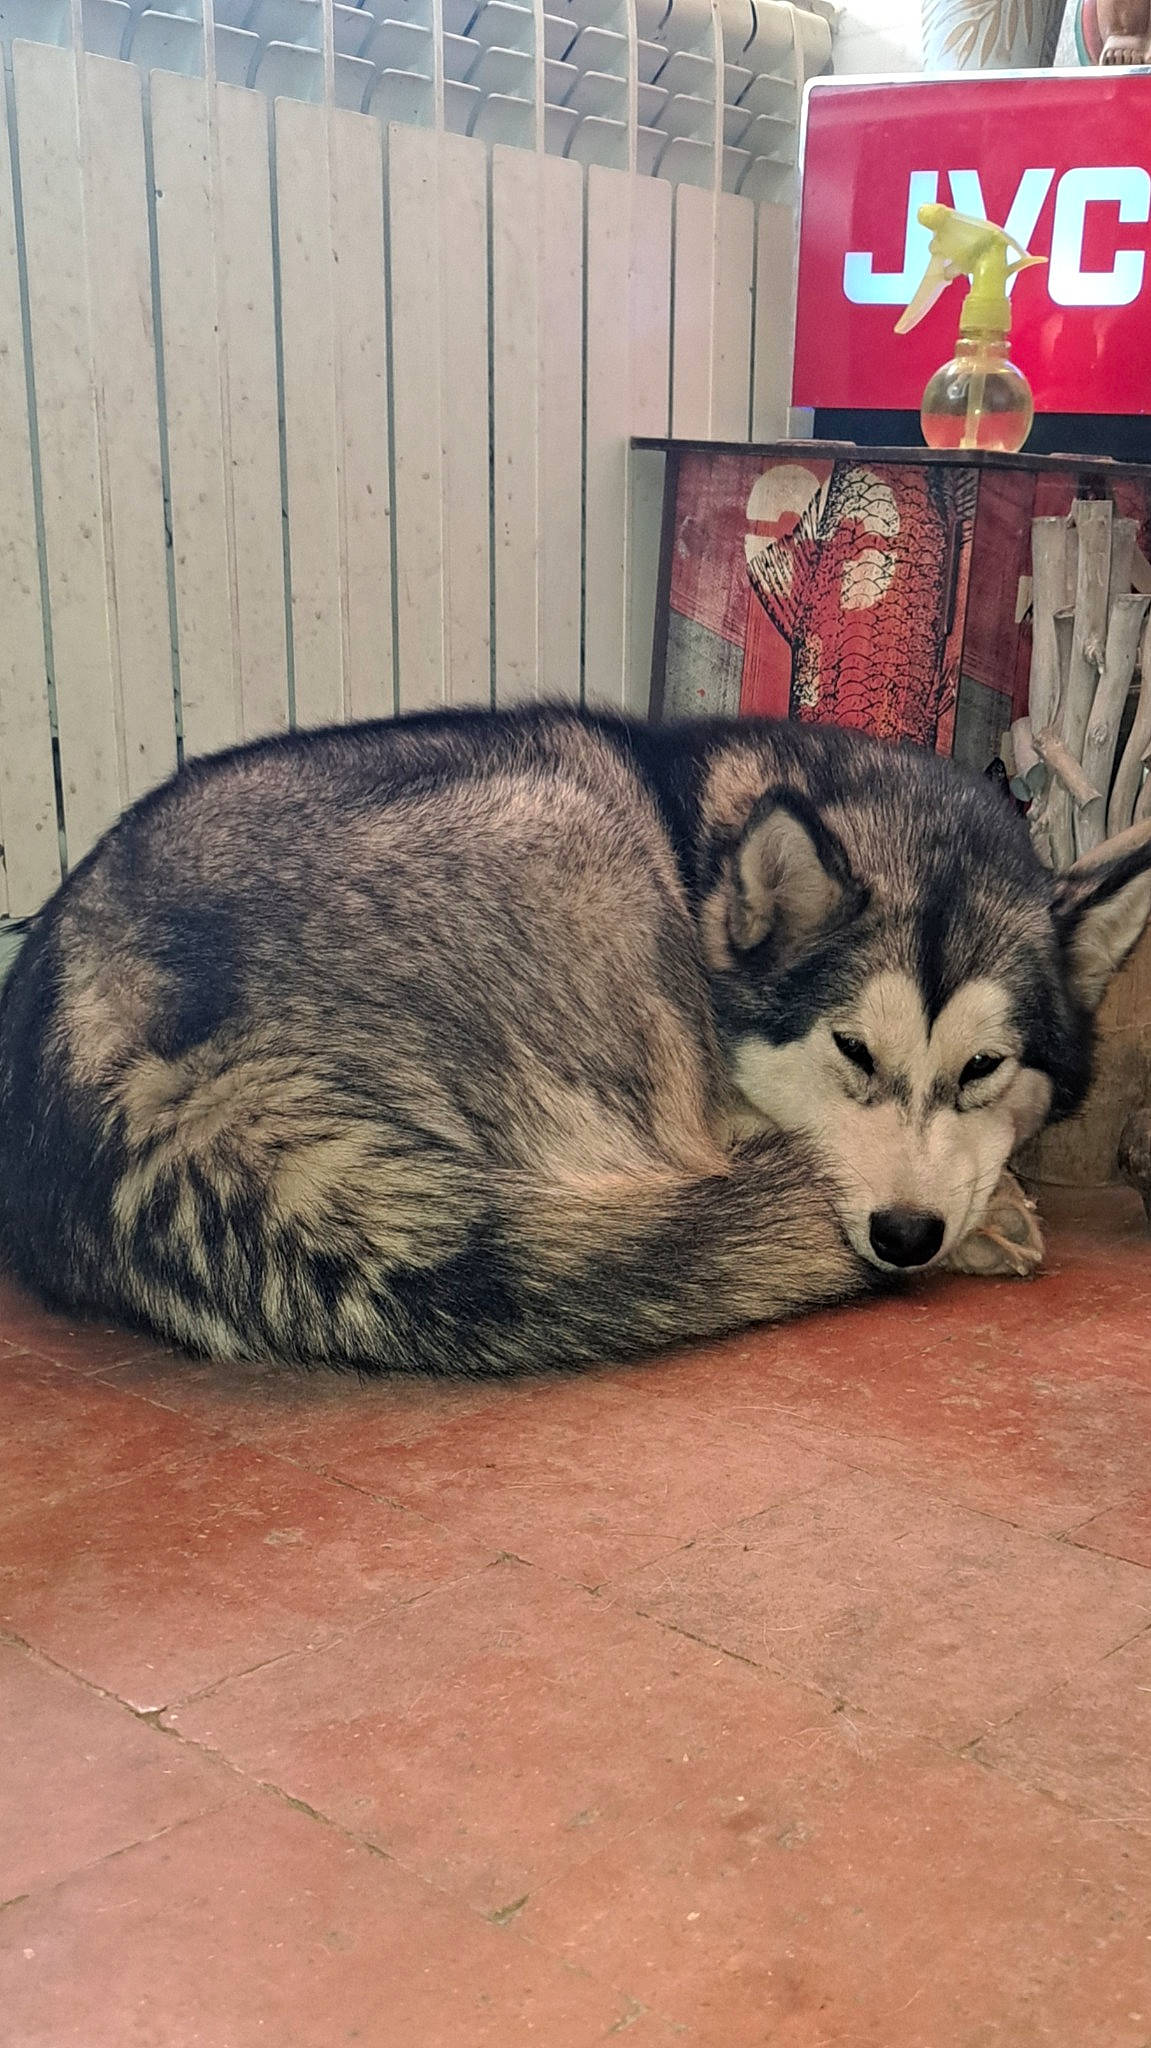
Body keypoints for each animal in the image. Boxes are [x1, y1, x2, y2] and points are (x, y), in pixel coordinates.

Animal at [1, 705, 1148, 1376]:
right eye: (851, 1052)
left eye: (983, 1068)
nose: (905, 1235)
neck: (707, 857)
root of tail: (108, 1054)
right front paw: (989, 1212)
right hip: (582, 838)